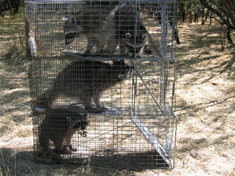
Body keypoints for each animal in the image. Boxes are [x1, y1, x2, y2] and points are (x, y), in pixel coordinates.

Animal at [24, 0, 177, 169]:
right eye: (66, 34)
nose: (66, 42)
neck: (82, 23)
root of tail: (58, 84)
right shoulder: (99, 77)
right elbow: (95, 89)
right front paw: (90, 50)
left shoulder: (99, 26)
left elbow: (102, 39)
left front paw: (99, 51)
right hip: (74, 84)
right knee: (85, 92)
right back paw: (89, 106)